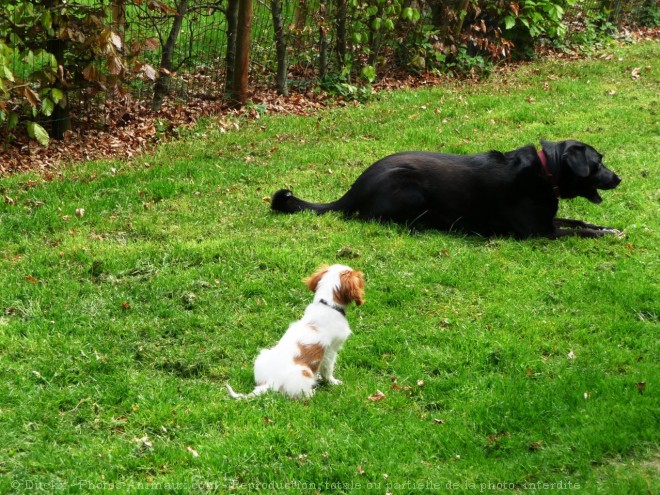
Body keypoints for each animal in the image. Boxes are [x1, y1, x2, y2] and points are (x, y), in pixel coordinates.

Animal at [224, 266, 364, 402]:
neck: (327, 305)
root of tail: (271, 381)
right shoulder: (331, 351)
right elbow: (327, 369)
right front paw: (333, 382)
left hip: (262, 356)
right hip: (304, 372)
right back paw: (312, 392)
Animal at [270, 140, 620, 239]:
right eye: (598, 163)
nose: (618, 179)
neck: (546, 171)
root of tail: (354, 188)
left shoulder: (547, 221)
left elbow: (580, 222)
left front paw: (610, 228)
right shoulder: (539, 232)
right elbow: (578, 231)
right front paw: (605, 234)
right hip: (409, 188)